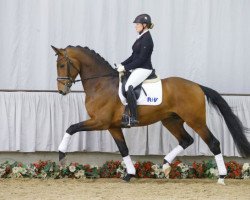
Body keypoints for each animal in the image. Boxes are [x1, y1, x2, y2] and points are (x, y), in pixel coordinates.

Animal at [51, 45, 250, 184]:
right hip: (170, 121)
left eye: (62, 65)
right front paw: (130, 174)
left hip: (196, 121)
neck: (101, 84)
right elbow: (124, 149)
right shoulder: (113, 126)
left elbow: (71, 127)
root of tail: (197, 86)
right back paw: (165, 166)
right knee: (186, 140)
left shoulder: (100, 122)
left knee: (213, 143)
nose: (61, 91)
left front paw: (61, 154)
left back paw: (221, 177)